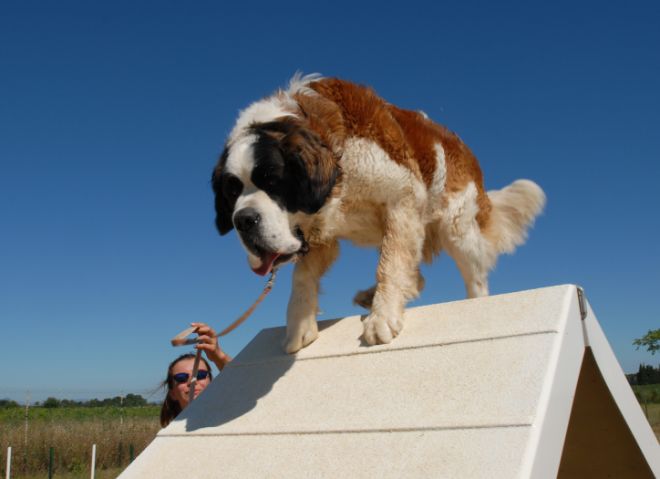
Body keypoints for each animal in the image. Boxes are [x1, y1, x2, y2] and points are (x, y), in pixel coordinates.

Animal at [213, 74, 548, 352]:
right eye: (231, 193)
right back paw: (372, 295)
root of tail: (466, 151)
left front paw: (383, 316)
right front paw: (299, 324)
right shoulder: (320, 230)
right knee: (416, 275)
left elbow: (390, 263)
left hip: (457, 227)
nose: (243, 220)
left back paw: (472, 303)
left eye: (272, 181)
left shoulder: (403, 199)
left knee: (473, 277)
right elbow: (303, 275)